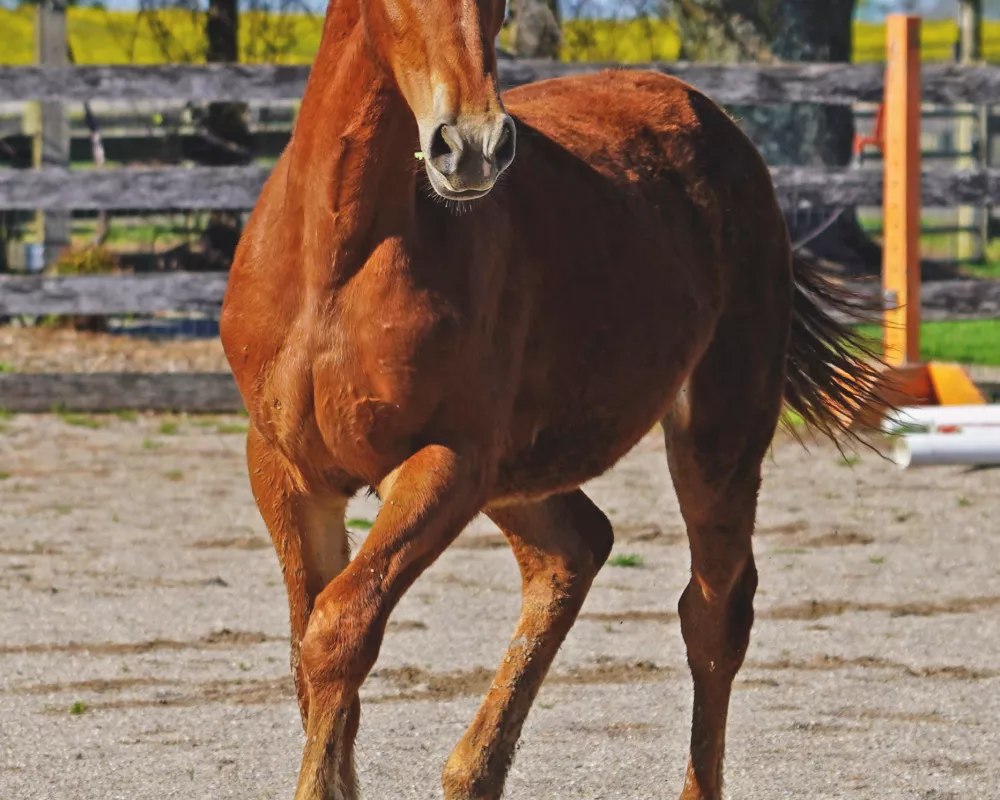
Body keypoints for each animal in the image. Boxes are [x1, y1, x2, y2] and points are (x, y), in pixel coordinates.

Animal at [219, 1, 876, 800]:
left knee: (714, 613)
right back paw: (472, 773)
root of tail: (718, 123)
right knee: (574, 551)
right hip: (520, 474)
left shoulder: (446, 462)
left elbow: (339, 630)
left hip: (719, 430)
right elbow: (308, 651)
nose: (471, 147)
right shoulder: (285, 469)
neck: (336, 263)